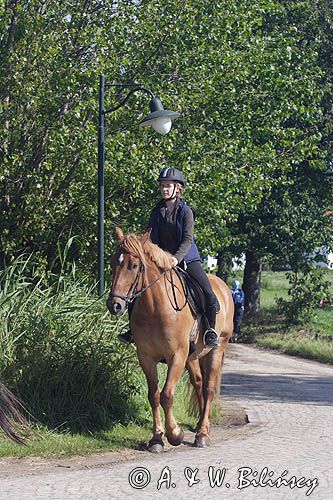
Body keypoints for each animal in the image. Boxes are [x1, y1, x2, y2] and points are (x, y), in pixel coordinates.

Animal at [107, 229, 232, 452]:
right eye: (113, 262)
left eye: (134, 266)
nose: (115, 305)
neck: (156, 308)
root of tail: (223, 287)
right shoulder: (146, 357)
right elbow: (154, 395)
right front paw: (157, 438)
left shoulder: (176, 356)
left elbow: (166, 395)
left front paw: (175, 434)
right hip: (193, 357)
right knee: (198, 383)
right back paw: (200, 425)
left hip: (216, 350)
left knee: (208, 388)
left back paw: (203, 433)